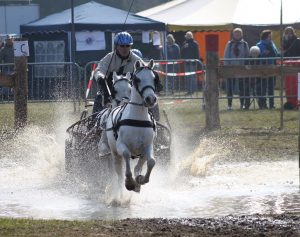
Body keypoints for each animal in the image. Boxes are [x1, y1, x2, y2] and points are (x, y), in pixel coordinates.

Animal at [105, 59, 157, 193]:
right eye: (137, 79)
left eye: (154, 78)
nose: (151, 99)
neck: (138, 119)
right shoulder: (121, 145)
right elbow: (126, 155)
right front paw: (129, 182)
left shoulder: (148, 146)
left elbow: (151, 162)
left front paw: (141, 180)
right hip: (114, 154)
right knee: (119, 172)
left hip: (141, 153)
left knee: (139, 165)